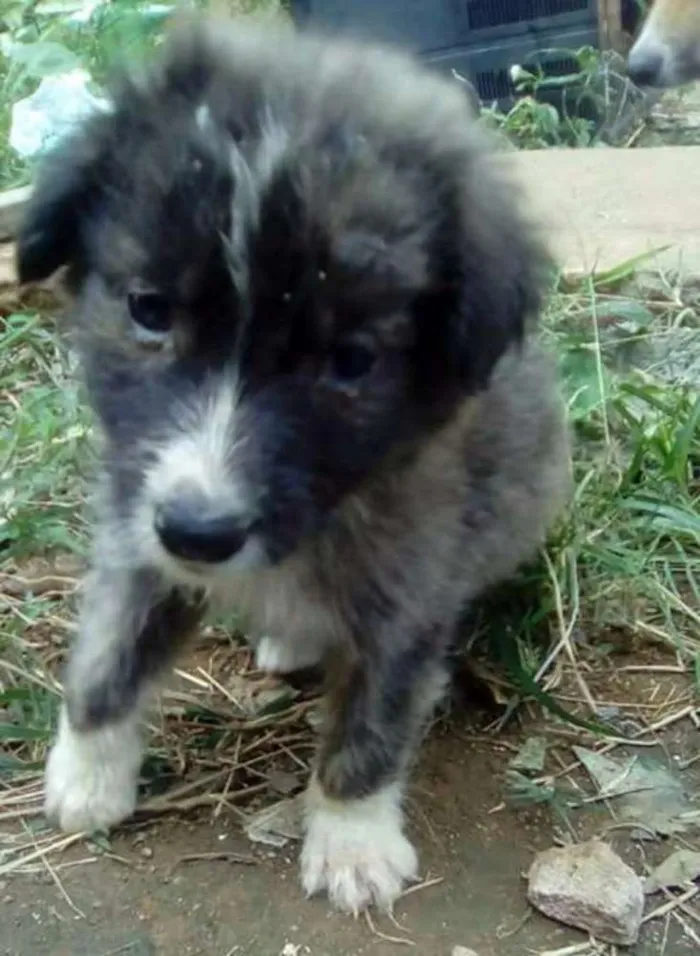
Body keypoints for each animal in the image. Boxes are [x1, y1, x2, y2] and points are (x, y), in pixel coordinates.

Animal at [16, 13, 572, 912]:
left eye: (349, 361)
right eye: (148, 309)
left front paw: (352, 839)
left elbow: (372, 724)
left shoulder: (410, 588)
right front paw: (86, 774)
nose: (199, 533)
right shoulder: (138, 528)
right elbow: (105, 660)